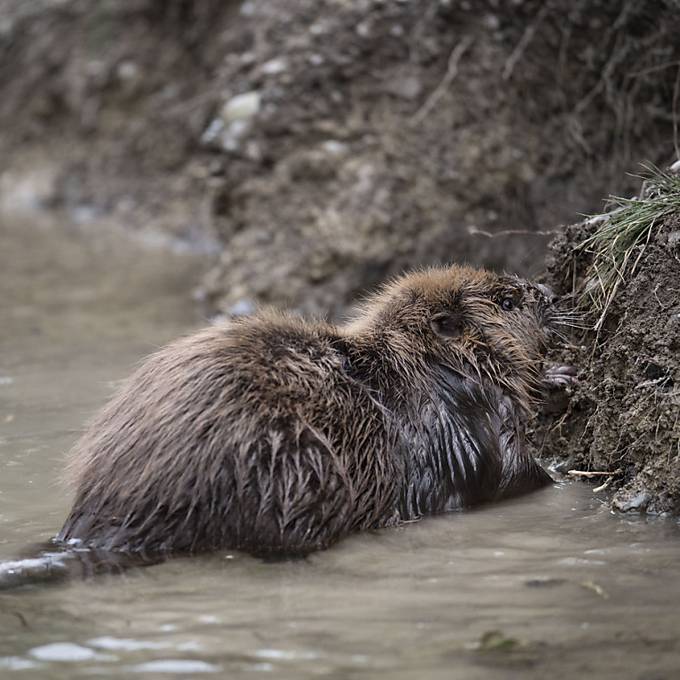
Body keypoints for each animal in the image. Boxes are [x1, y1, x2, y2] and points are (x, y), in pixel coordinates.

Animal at [58, 266, 568, 556]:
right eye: (507, 300)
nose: (549, 291)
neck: (426, 364)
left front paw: (559, 377)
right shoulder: (468, 413)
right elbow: (508, 471)